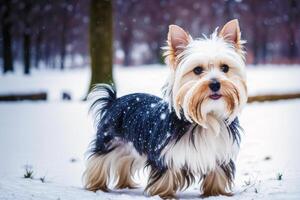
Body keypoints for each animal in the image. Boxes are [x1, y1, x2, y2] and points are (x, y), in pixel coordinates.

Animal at [83, 19, 247, 198]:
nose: (215, 84)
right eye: (197, 70)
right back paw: (96, 186)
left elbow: (218, 174)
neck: (207, 115)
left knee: (124, 160)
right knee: (99, 160)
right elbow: (166, 175)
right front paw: (165, 194)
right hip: (110, 140)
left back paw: (125, 185)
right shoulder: (165, 152)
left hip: (130, 147)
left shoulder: (220, 153)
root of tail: (114, 101)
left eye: (225, 68)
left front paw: (216, 193)